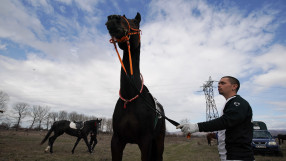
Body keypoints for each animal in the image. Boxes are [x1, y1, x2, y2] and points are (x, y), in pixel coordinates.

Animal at [106, 12, 166, 161]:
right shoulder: (117, 141)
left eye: (135, 22)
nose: (113, 18)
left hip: (159, 140)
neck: (130, 97)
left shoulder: (145, 142)